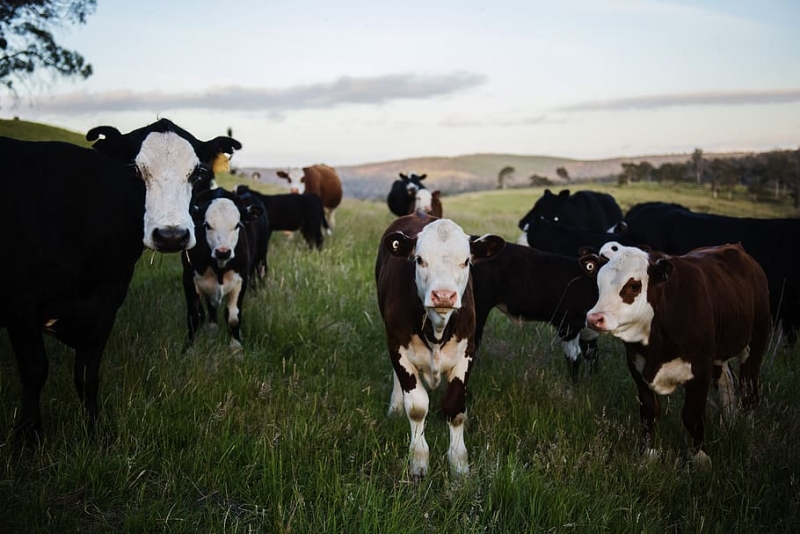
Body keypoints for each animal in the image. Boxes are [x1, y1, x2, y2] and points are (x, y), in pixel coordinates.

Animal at [0, 118, 241, 442]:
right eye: (133, 170)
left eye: (198, 172)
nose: (171, 236)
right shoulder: (22, 304)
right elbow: (35, 370)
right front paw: (28, 437)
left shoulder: (105, 305)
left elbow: (87, 376)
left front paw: (94, 433)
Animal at [182, 188, 266, 350]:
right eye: (207, 225)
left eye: (237, 225)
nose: (223, 252)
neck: (219, 268)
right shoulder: (189, 279)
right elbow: (194, 316)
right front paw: (189, 348)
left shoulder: (242, 280)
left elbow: (233, 316)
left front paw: (236, 346)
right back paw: (212, 328)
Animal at [375, 212, 505, 479]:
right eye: (419, 259)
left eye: (466, 261)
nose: (443, 295)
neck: (436, 329)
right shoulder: (397, 346)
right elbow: (416, 407)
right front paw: (418, 462)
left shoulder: (466, 352)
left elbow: (454, 407)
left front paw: (459, 465)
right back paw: (395, 407)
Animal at [471, 242, 600, 379]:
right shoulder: (567, 325)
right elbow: (574, 358)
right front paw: (574, 384)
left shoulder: (588, 331)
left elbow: (592, 356)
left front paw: (592, 380)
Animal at [580, 242, 771, 467]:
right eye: (598, 283)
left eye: (634, 286)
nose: (594, 318)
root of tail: (734, 247)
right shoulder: (637, 366)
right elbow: (649, 412)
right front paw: (648, 456)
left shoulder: (701, 368)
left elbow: (692, 415)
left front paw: (700, 459)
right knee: (727, 384)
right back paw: (730, 424)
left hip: (756, 342)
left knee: (749, 389)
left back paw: (747, 431)